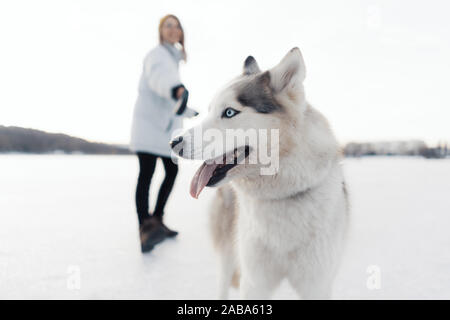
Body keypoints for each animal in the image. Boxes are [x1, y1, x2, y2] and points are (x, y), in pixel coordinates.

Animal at [171, 48, 350, 300]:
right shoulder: (255, 281)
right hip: (228, 251)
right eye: (209, 111)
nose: (173, 142)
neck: (280, 195)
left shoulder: (316, 284)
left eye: (229, 112)